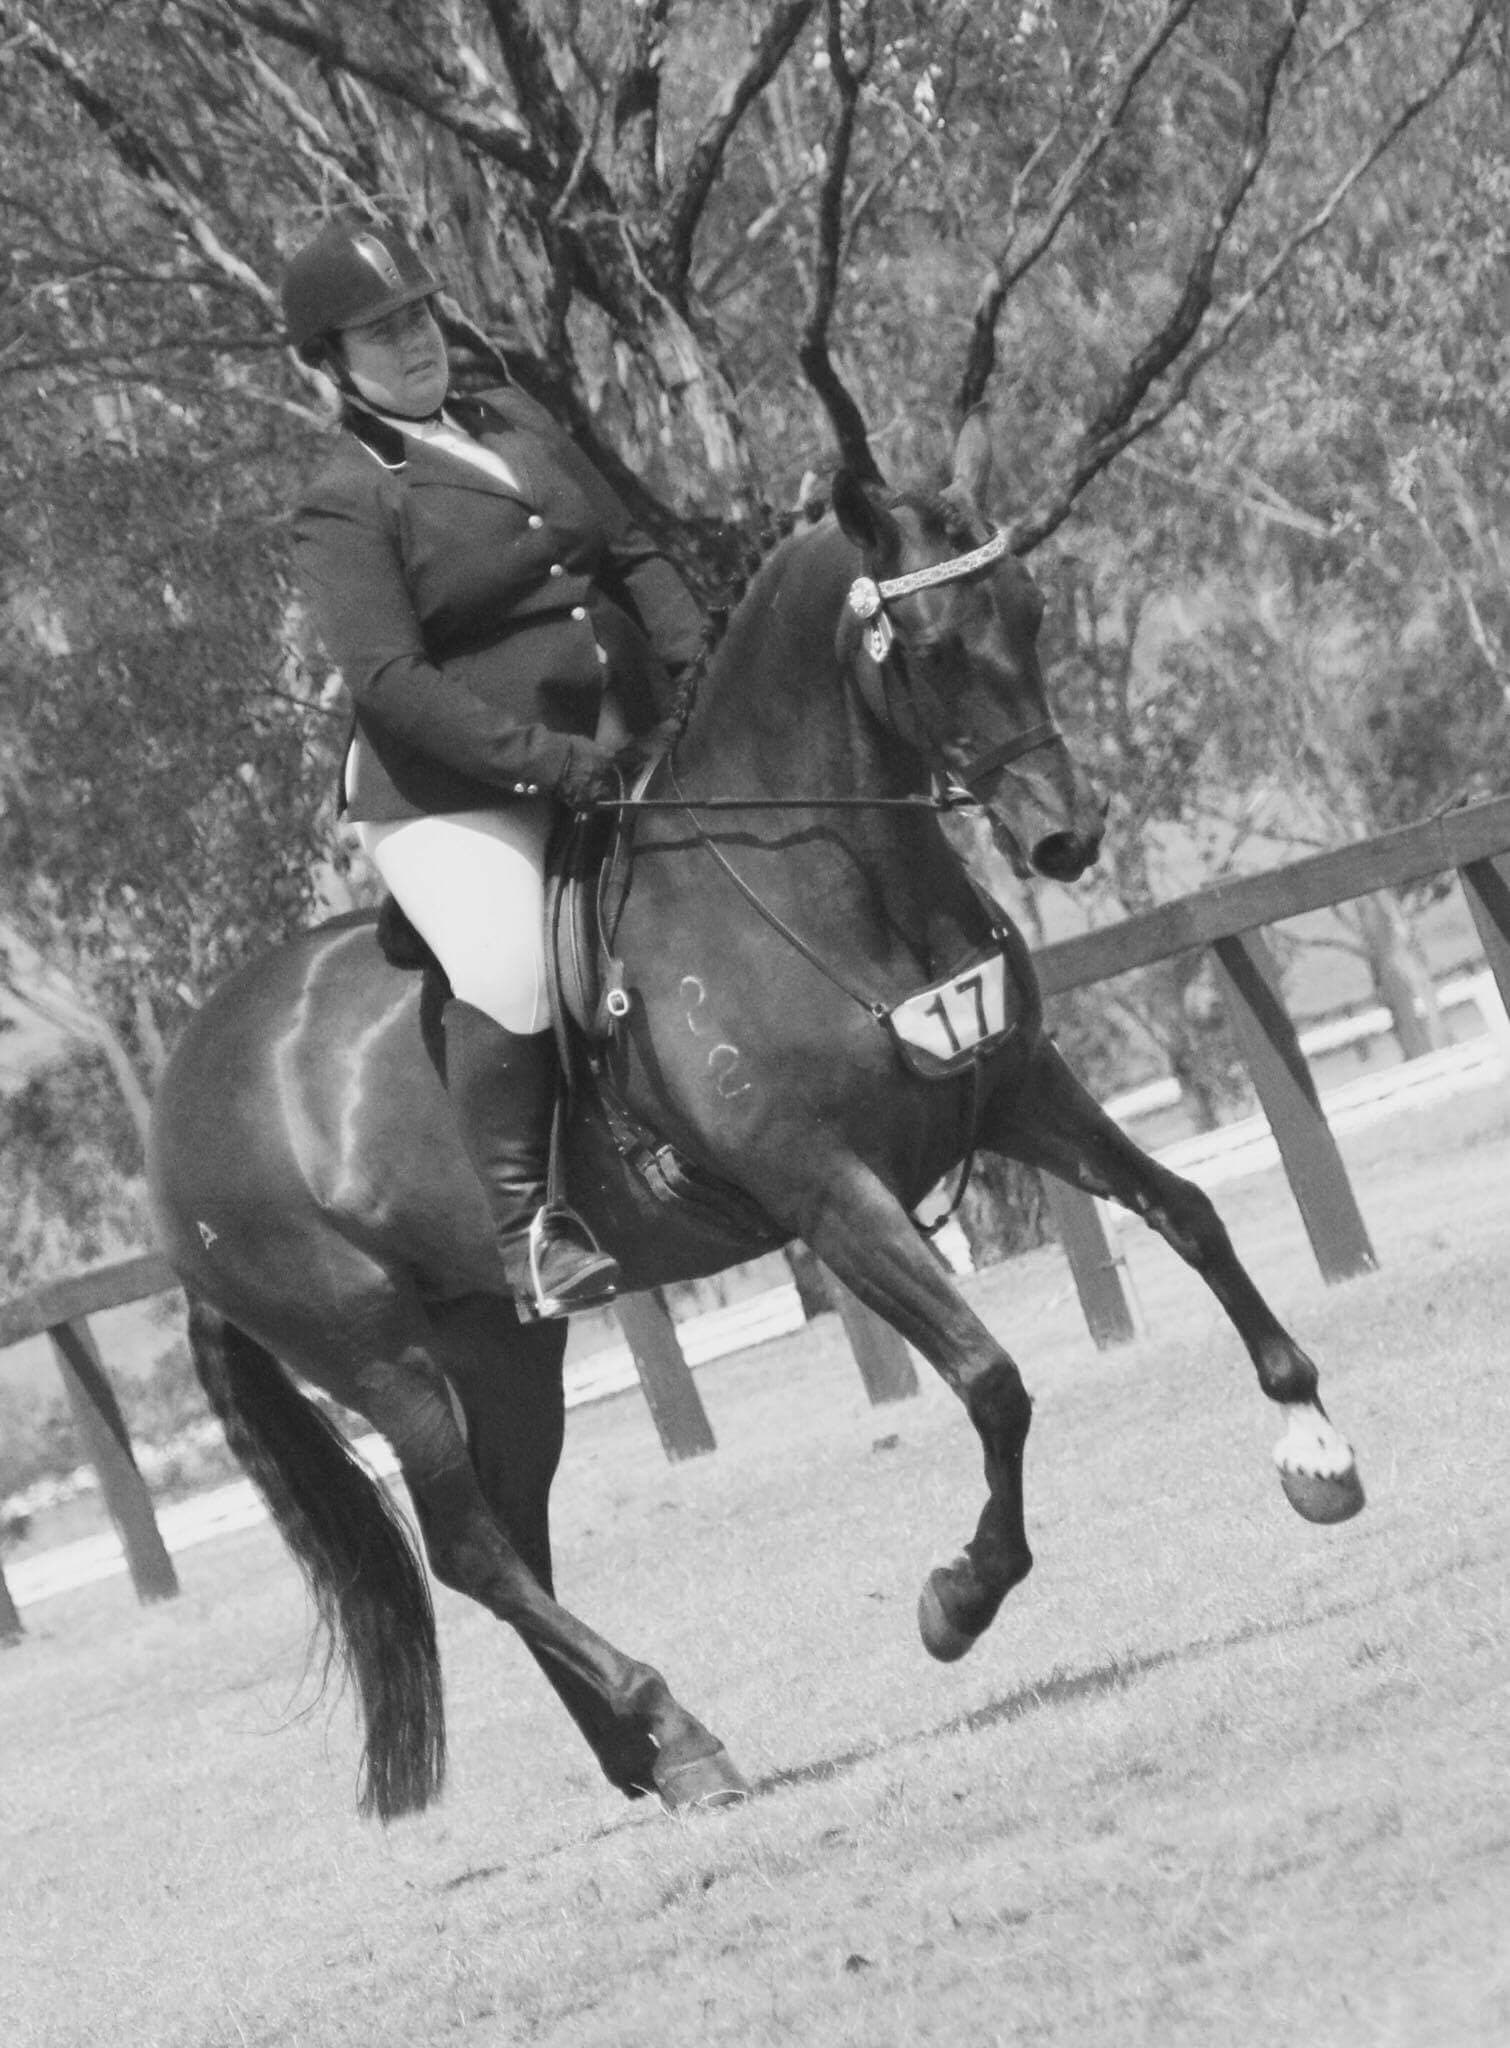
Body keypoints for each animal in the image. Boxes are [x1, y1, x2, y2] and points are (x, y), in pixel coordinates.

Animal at [147, 413, 1364, 1823]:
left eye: (1033, 611)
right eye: (933, 648)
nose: (1066, 839)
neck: (828, 879)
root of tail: (177, 1111)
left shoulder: (1015, 1093)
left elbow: (1191, 1213)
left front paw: (1315, 1447)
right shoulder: (832, 1196)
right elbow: (991, 1379)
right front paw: (959, 1597)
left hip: (498, 1343)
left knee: (512, 1529)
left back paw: (652, 1753)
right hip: (379, 1355)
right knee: (466, 1545)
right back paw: (669, 1719)